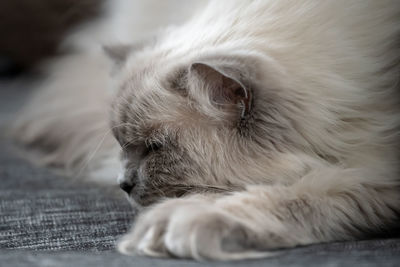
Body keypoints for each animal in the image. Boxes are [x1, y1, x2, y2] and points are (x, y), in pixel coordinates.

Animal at [10, 0, 400, 262]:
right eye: (123, 144)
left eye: (154, 148)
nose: (123, 184)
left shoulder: (379, 171)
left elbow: (301, 195)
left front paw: (180, 224)